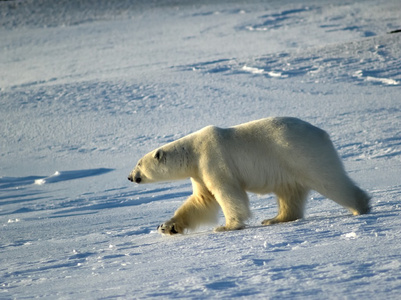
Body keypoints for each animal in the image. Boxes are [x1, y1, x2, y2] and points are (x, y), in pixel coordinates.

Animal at [127, 116, 368, 234]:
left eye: (138, 163)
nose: (130, 177)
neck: (193, 151)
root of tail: (322, 132)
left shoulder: (213, 159)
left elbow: (227, 193)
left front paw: (226, 226)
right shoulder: (199, 173)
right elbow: (201, 201)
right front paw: (167, 227)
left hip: (301, 153)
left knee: (329, 180)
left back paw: (361, 206)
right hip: (288, 166)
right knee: (290, 194)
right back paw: (274, 219)